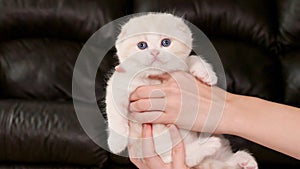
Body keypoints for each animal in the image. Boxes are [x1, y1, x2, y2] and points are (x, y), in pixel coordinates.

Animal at [106, 13, 258, 169]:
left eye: (166, 42)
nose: (154, 52)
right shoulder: (117, 86)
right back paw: (210, 147)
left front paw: (207, 74)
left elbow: (193, 58)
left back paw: (243, 160)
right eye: (141, 45)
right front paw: (116, 143)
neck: (154, 78)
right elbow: (115, 115)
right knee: (184, 158)